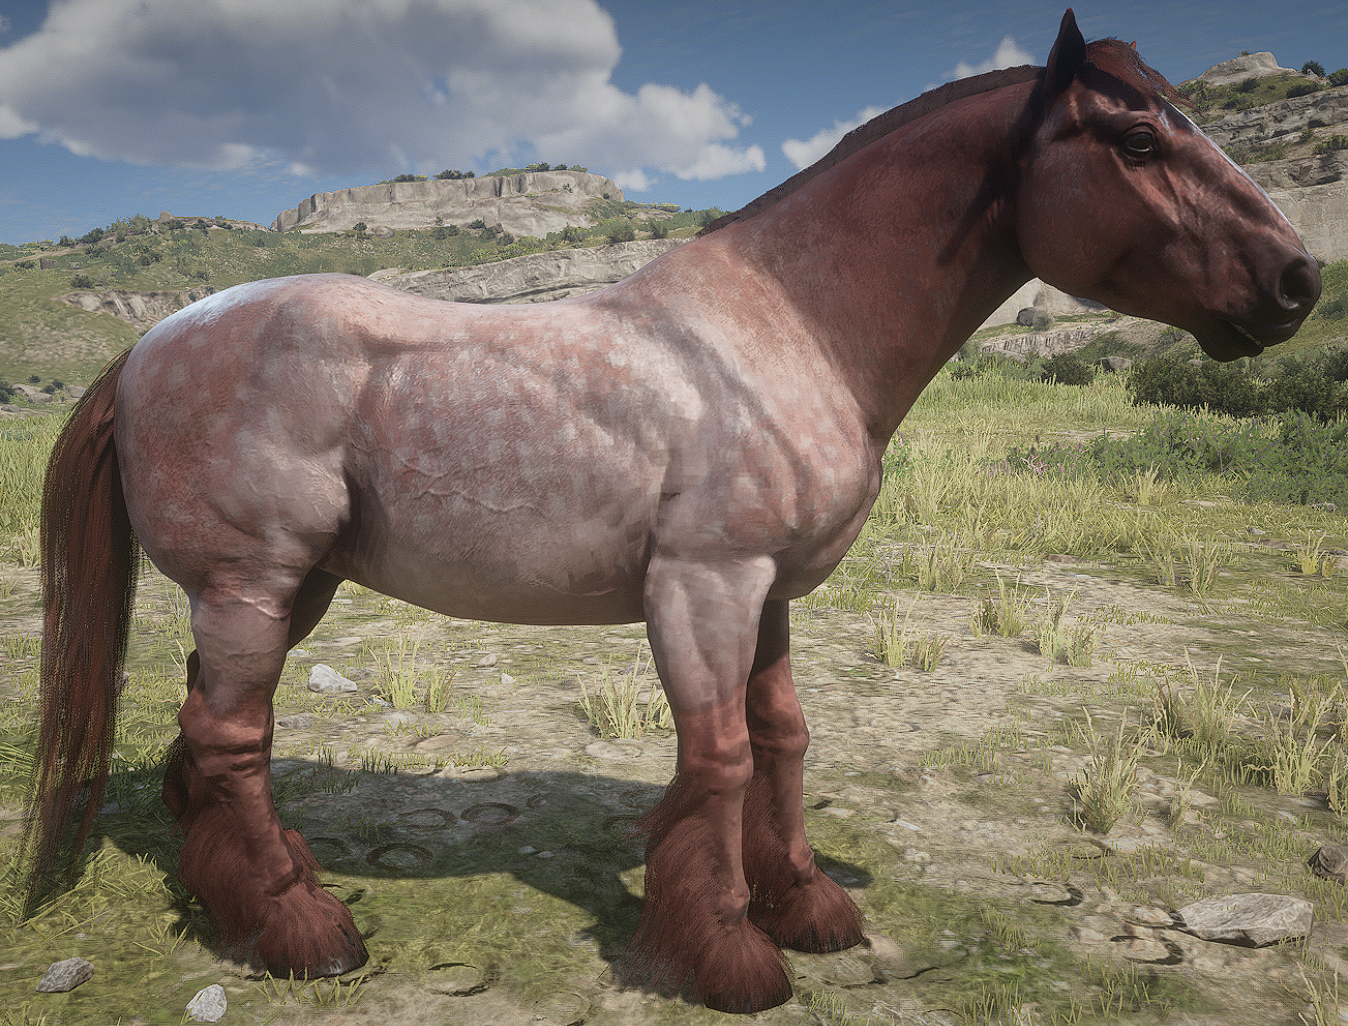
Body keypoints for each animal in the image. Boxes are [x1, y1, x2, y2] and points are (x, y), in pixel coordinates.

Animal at [25, 9, 1319, 1014]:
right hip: (252, 584)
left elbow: (782, 740)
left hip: (289, 590)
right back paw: (302, 930)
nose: (1297, 281)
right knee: (232, 739)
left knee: (206, 726)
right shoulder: (704, 583)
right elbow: (721, 756)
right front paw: (725, 954)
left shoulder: (771, 592)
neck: (788, 328)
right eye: (1138, 137)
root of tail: (152, 340)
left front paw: (806, 903)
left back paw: (243, 893)